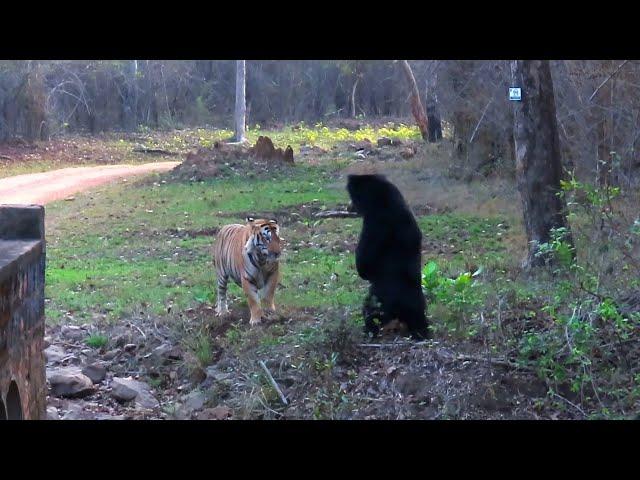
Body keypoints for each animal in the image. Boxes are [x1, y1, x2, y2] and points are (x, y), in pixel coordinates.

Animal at [344, 174, 430, 340]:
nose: (349, 206)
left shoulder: (375, 222)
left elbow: (364, 266)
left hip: (383, 300)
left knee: (371, 310)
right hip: (416, 303)